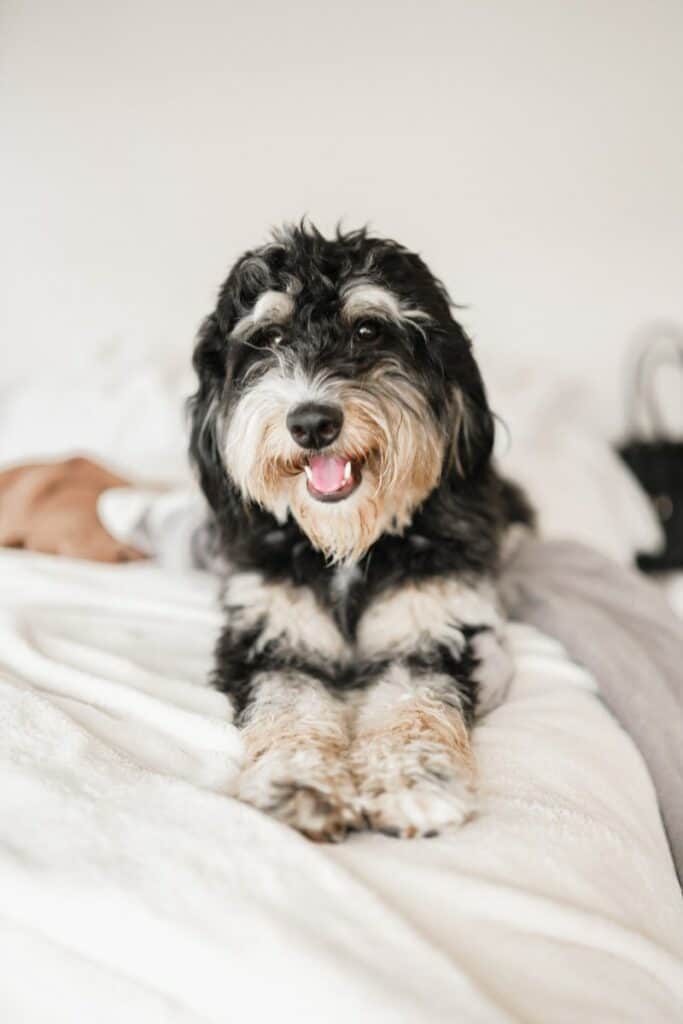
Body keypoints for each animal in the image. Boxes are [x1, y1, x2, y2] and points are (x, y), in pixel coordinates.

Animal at [188, 222, 532, 839]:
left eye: (368, 329)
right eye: (268, 337)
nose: (312, 423)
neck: (346, 546)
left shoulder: (427, 629)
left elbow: (415, 705)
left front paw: (415, 782)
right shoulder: (274, 633)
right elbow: (291, 705)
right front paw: (299, 783)